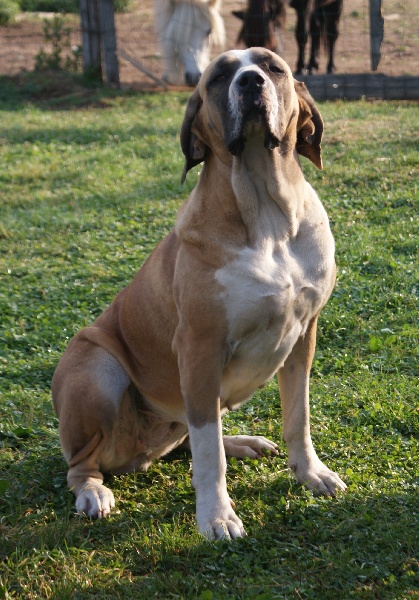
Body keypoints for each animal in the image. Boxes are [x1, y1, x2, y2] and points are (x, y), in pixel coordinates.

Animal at [52, 48, 347, 540]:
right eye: (219, 77)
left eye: (273, 67)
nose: (250, 82)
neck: (266, 213)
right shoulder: (200, 348)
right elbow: (209, 456)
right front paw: (216, 516)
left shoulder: (303, 337)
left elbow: (297, 417)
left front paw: (310, 473)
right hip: (95, 369)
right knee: (83, 463)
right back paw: (93, 492)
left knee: (189, 437)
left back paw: (242, 442)